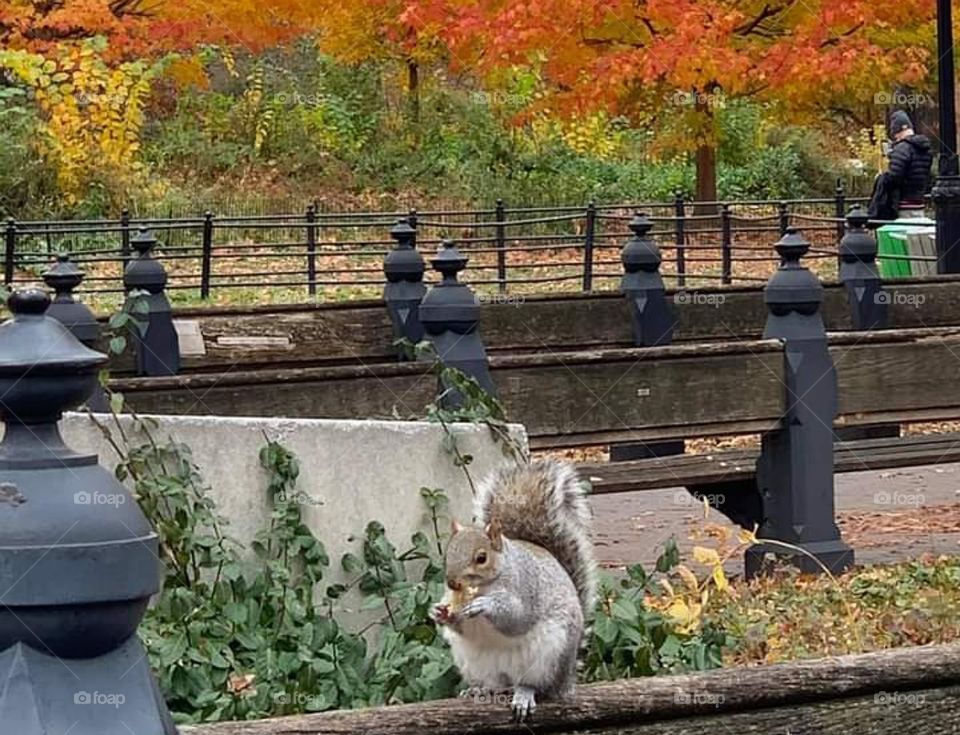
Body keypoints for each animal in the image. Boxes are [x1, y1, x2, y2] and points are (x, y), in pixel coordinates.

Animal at [430, 458, 596, 722]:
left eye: (481, 558)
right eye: (448, 553)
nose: (452, 583)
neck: (486, 584)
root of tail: (566, 680)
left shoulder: (527, 586)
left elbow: (518, 618)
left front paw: (486, 605)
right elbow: (461, 626)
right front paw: (439, 612)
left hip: (549, 656)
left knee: (538, 686)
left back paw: (524, 694)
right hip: (476, 664)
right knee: (497, 684)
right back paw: (480, 690)